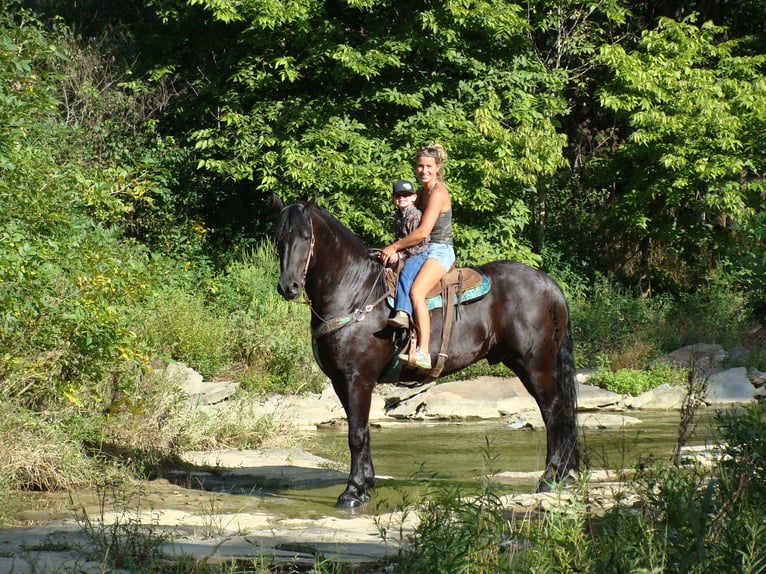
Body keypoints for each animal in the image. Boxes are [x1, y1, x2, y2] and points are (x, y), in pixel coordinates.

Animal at [272, 197, 580, 508]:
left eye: (306, 237)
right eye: (279, 237)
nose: (288, 287)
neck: (355, 292)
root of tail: (549, 284)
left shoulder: (357, 378)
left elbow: (356, 434)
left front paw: (353, 492)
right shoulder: (340, 381)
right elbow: (364, 431)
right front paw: (366, 484)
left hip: (535, 365)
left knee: (554, 412)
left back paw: (550, 479)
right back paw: (564, 476)